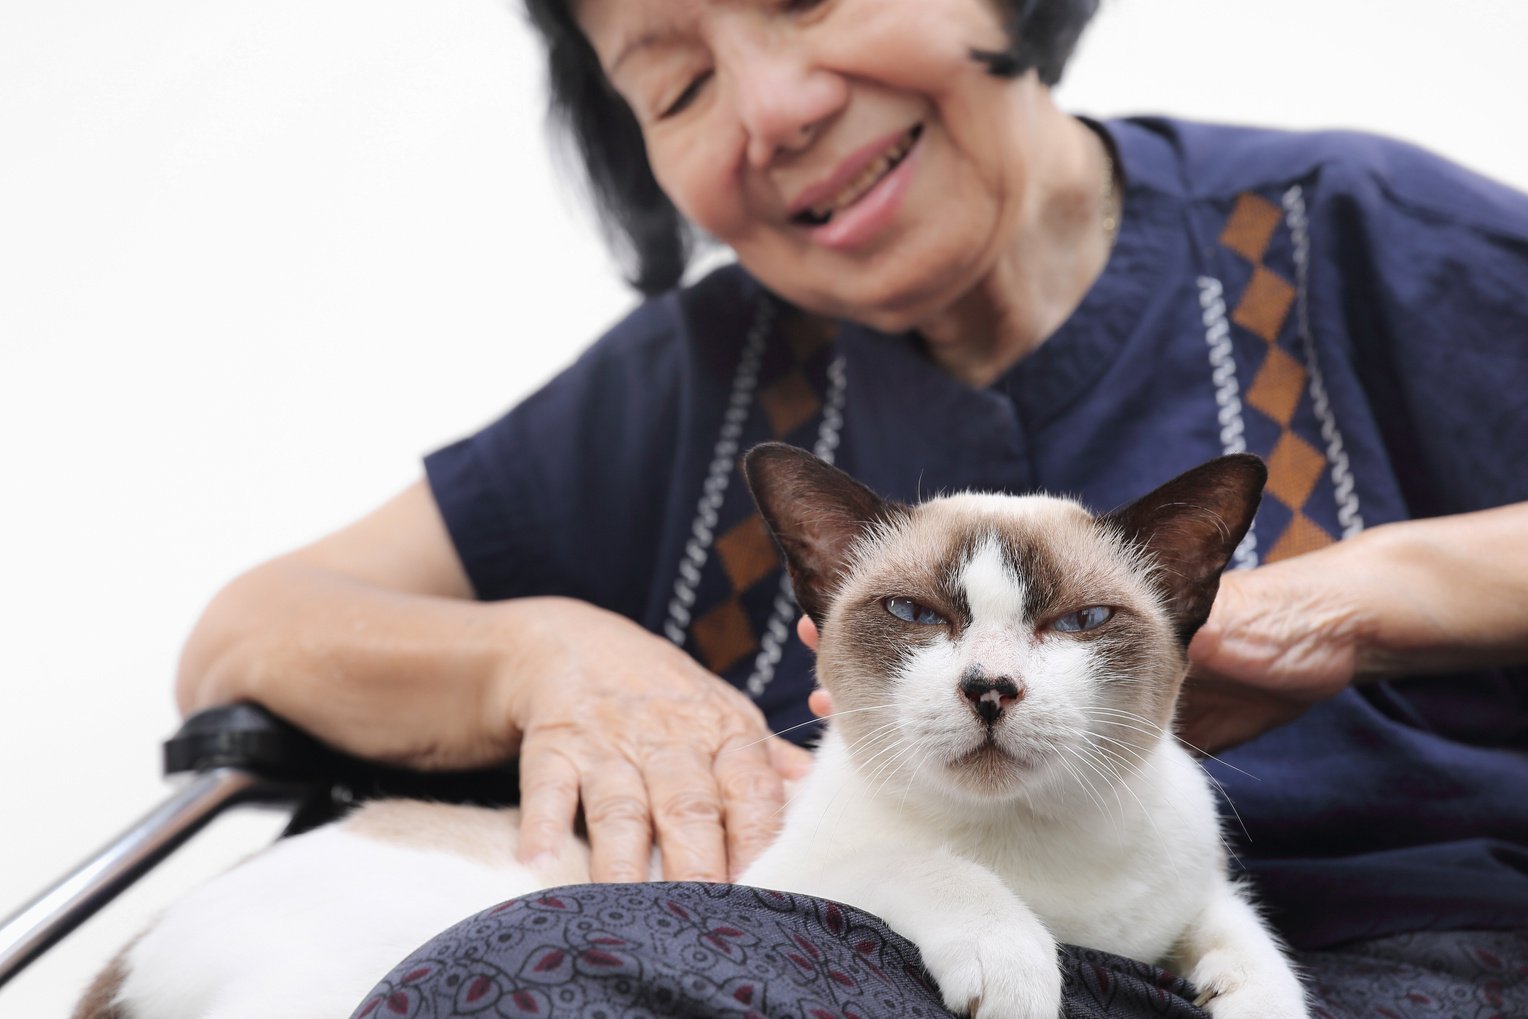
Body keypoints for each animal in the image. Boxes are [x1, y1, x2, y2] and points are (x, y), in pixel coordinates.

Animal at [80, 449, 1301, 1019]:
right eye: (916, 615)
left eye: (1081, 623)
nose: (991, 687)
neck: (1041, 854)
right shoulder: (805, 869)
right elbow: (939, 876)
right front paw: (1017, 966)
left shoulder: (1187, 898)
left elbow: (1251, 946)